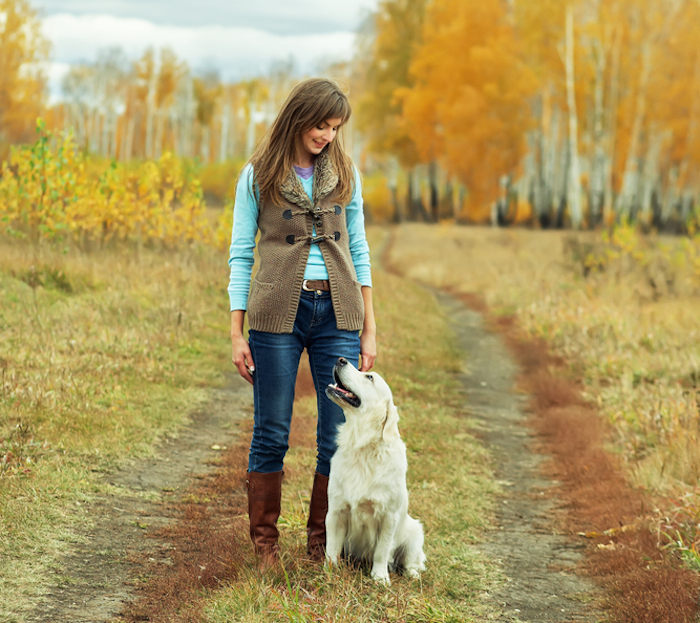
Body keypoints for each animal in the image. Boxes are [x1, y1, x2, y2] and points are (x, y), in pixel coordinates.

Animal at [324, 358, 426, 588]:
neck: (362, 446)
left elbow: (381, 550)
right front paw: (329, 572)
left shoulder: (389, 516)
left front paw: (380, 577)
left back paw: (413, 575)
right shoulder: (336, 511)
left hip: (415, 531)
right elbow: (331, 548)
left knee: (412, 562)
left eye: (369, 377)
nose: (340, 359)